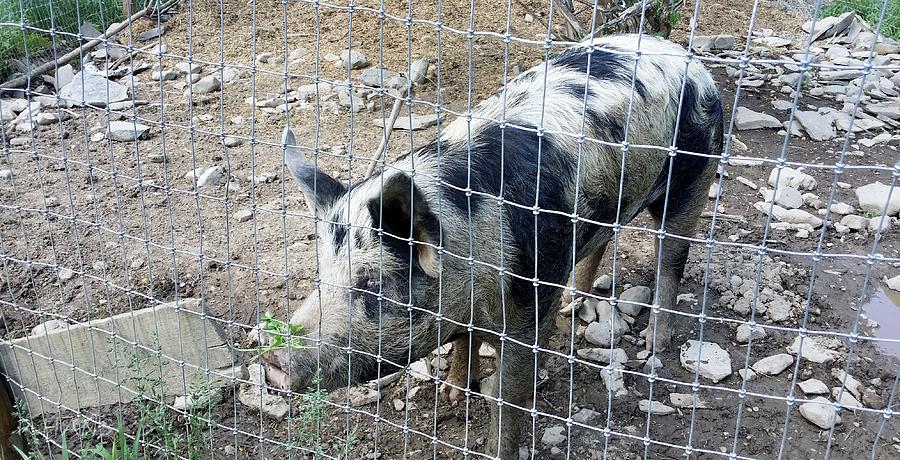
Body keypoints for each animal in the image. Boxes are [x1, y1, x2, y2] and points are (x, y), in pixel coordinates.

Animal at [264, 34, 720, 458]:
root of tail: (688, 59)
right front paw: (451, 393)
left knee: (672, 255)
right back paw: (571, 304)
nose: (273, 359)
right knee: (601, 241)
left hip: (694, 174)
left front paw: (496, 441)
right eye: (322, 274)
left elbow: (508, 392)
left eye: (372, 283)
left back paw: (654, 344)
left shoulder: (530, 303)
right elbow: (460, 343)